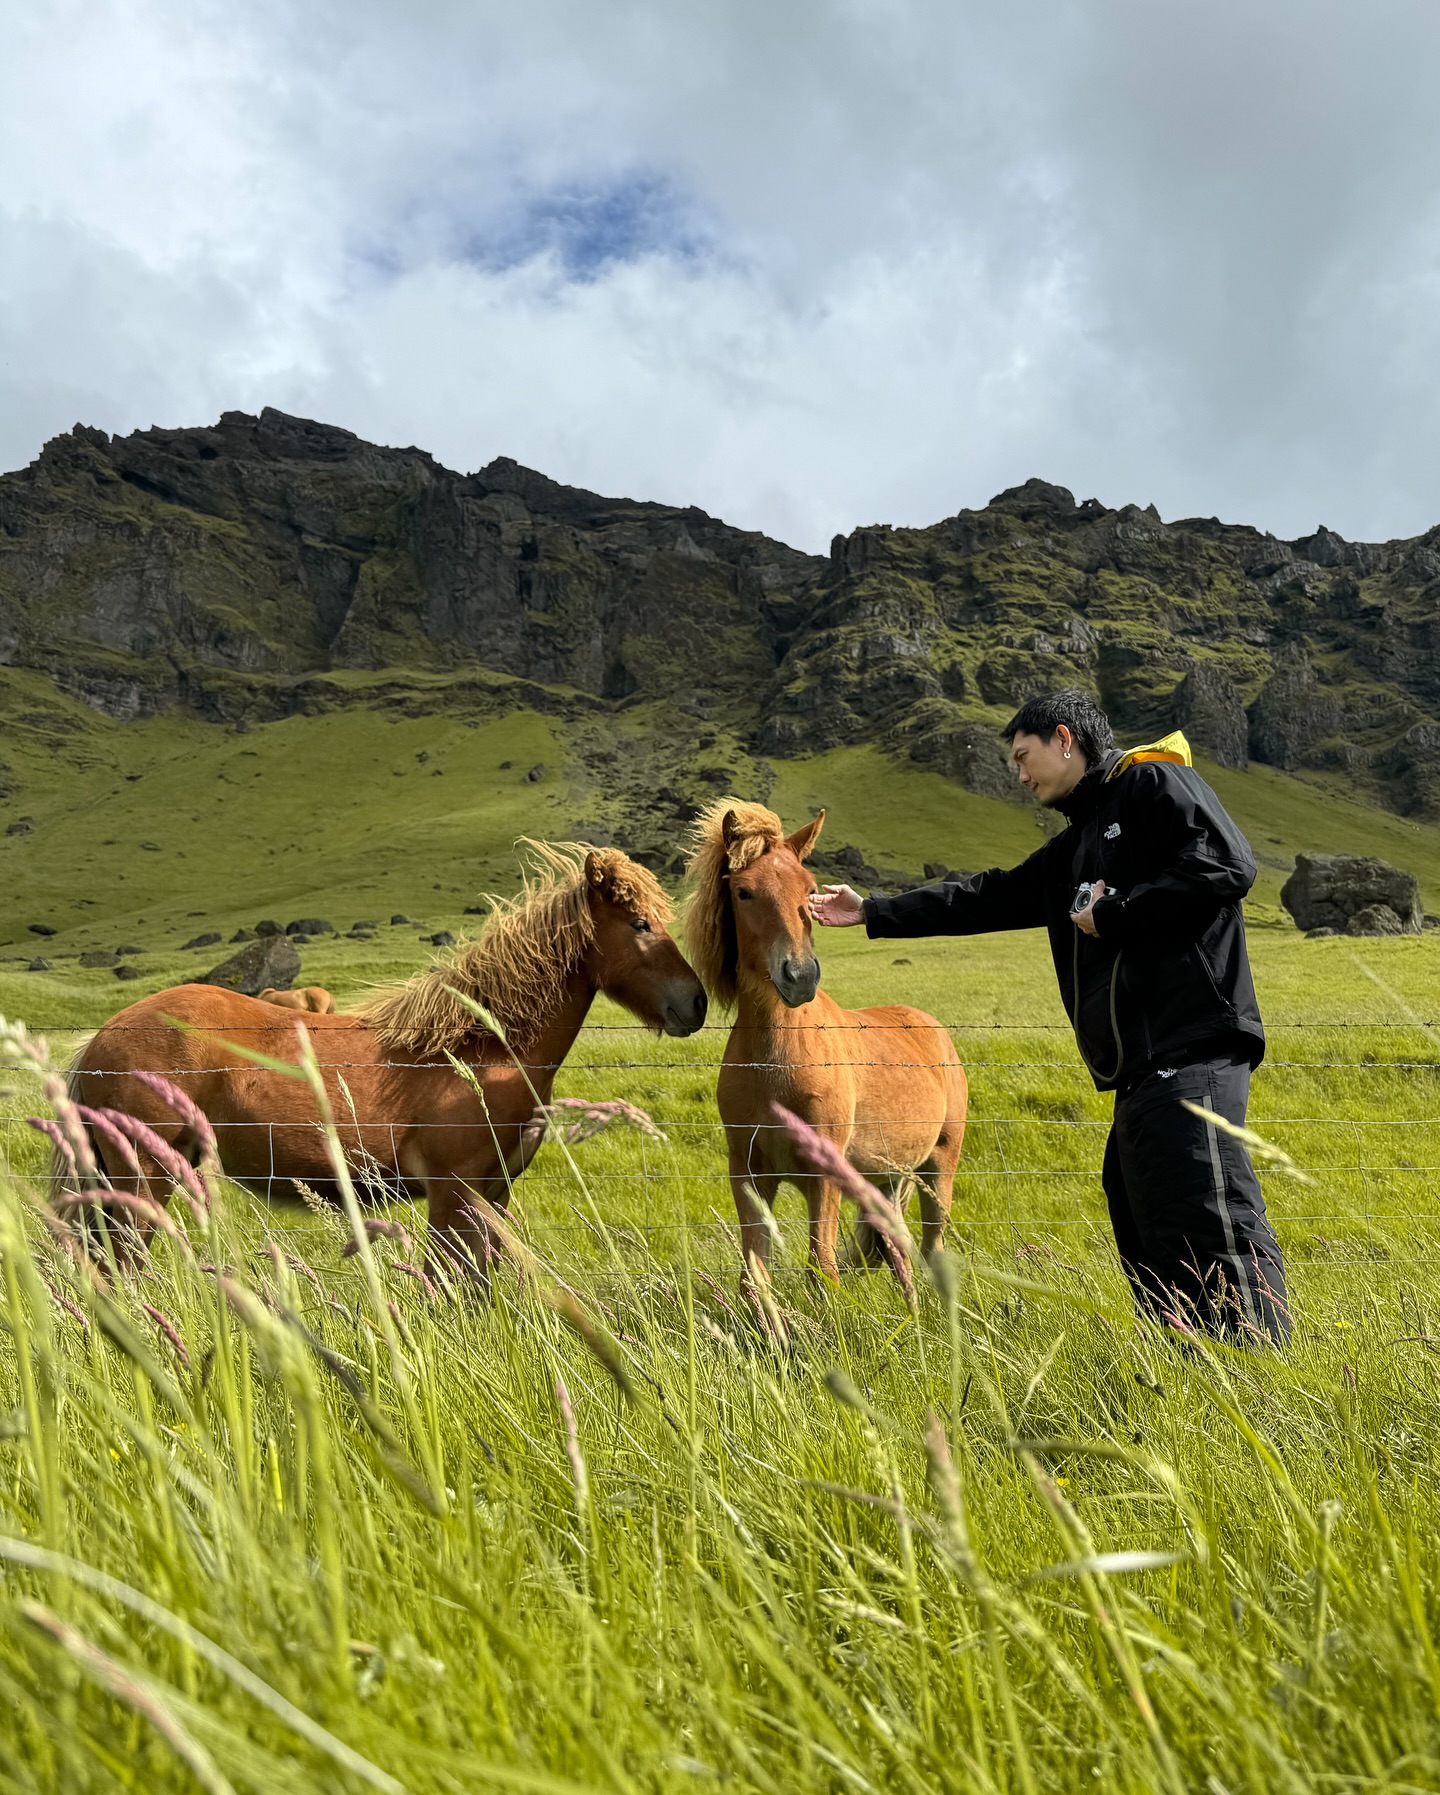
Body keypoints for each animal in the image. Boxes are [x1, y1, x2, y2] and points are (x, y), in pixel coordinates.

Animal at [67, 843, 707, 1278]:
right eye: (641, 924)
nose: (696, 1003)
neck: (478, 1050)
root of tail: (101, 1040)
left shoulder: (493, 1195)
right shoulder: (455, 1195)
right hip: (144, 1184)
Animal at [685, 807, 962, 1285]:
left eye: (811, 889)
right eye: (743, 892)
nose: (799, 976)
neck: (776, 1067)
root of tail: (932, 1027)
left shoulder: (825, 1173)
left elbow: (822, 1267)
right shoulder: (749, 1173)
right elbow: (753, 1275)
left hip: (939, 1166)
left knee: (932, 1247)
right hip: (888, 1179)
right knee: (898, 1250)